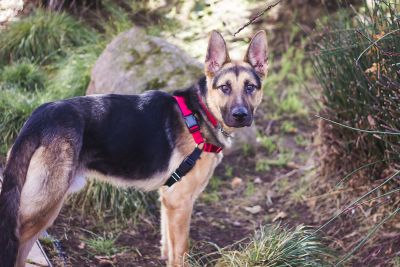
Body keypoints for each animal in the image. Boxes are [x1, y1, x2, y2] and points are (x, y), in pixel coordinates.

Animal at [0, 30, 268, 266]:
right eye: (225, 88)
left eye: (250, 87)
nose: (240, 115)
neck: (200, 113)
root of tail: (40, 116)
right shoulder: (180, 202)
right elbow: (180, 252)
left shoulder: (168, 199)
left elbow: (168, 244)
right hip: (43, 208)